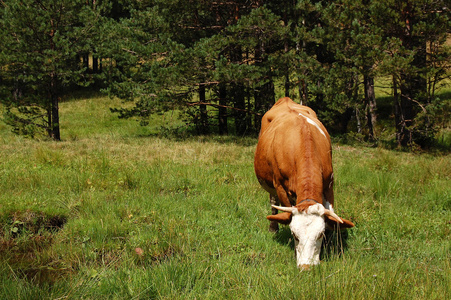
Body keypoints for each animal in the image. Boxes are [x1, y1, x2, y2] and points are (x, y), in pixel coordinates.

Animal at [254, 97, 354, 270]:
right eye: (294, 234)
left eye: (320, 234)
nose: (307, 267)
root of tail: (285, 99)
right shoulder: (280, 186)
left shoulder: (329, 184)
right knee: (273, 202)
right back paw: (273, 227)